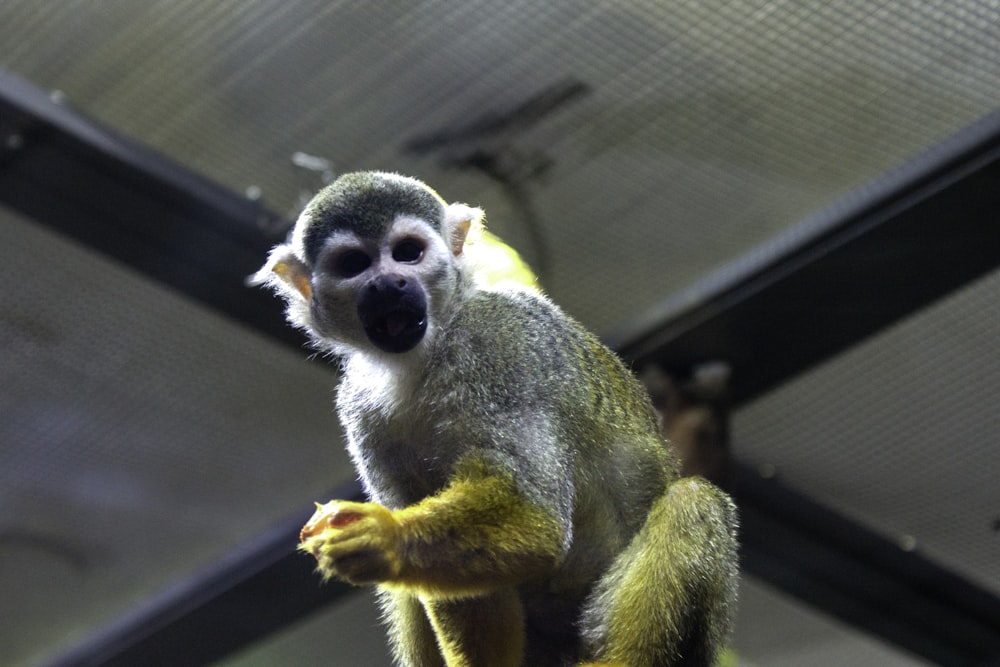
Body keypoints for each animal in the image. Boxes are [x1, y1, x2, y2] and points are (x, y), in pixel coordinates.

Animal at [254, 174, 740, 667]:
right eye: (354, 264)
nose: (388, 284)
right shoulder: (358, 408)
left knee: (693, 500)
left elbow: (534, 514)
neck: (422, 356)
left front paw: (387, 537)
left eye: (408, 252)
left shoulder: (498, 348)